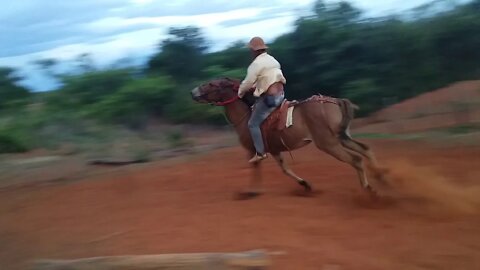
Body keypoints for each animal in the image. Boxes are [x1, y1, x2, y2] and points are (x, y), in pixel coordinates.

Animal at [189, 77, 380, 197]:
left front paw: (251, 192)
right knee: (365, 150)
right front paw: (305, 185)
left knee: (356, 159)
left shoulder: (253, 150)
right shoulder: (274, 150)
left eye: (211, 84)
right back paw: (380, 176)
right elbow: (285, 169)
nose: (193, 92)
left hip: (328, 143)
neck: (245, 117)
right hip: (341, 137)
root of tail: (335, 101)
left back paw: (369, 190)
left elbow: (256, 167)